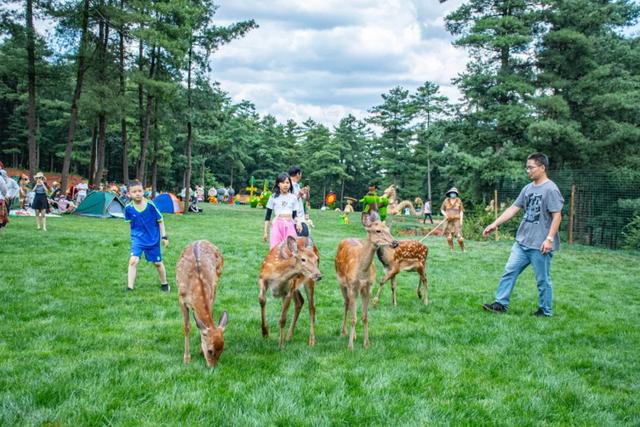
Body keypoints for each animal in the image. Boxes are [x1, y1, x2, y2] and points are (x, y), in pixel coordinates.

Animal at [332, 211, 398, 352]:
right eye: (378, 230)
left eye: (388, 229)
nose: (395, 243)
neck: (362, 272)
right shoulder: (352, 286)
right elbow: (353, 318)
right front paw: (350, 346)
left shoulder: (368, 287)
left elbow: (364, 316)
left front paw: (366, 343)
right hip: (341, 282)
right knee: (346, 304)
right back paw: (343, 332)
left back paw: (354, 335)